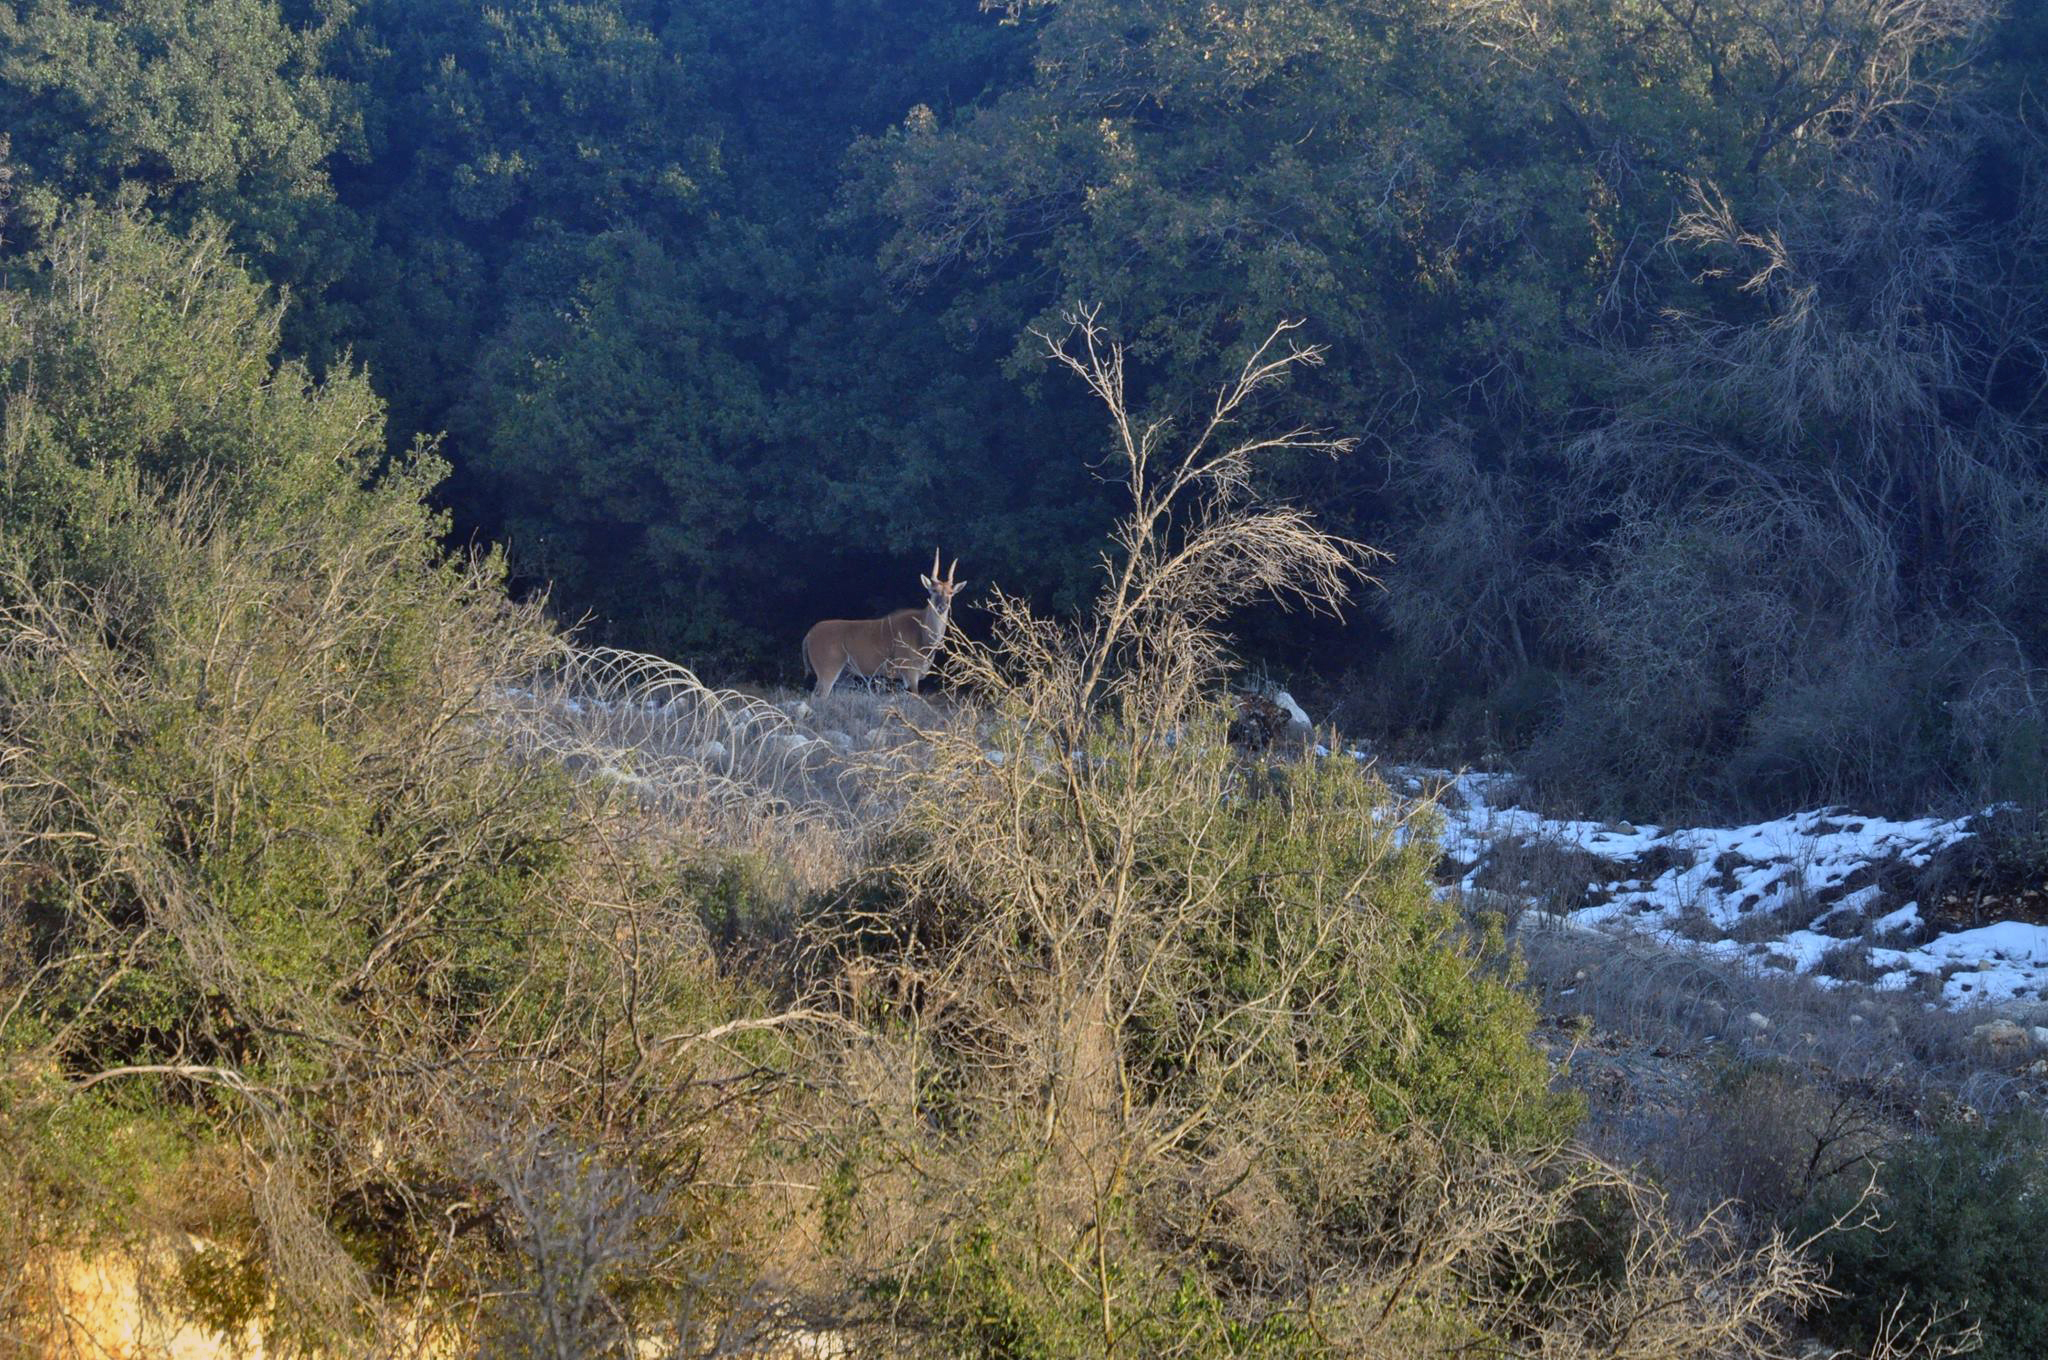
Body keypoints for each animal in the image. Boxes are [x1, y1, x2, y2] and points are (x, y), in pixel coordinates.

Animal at [798, 548, 958, 700]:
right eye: (934, 590)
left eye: (951, 592)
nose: (942, 607)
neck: (923, 634)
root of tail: (809, 635)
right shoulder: (911, 674)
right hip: (828, 672)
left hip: (844, 675)